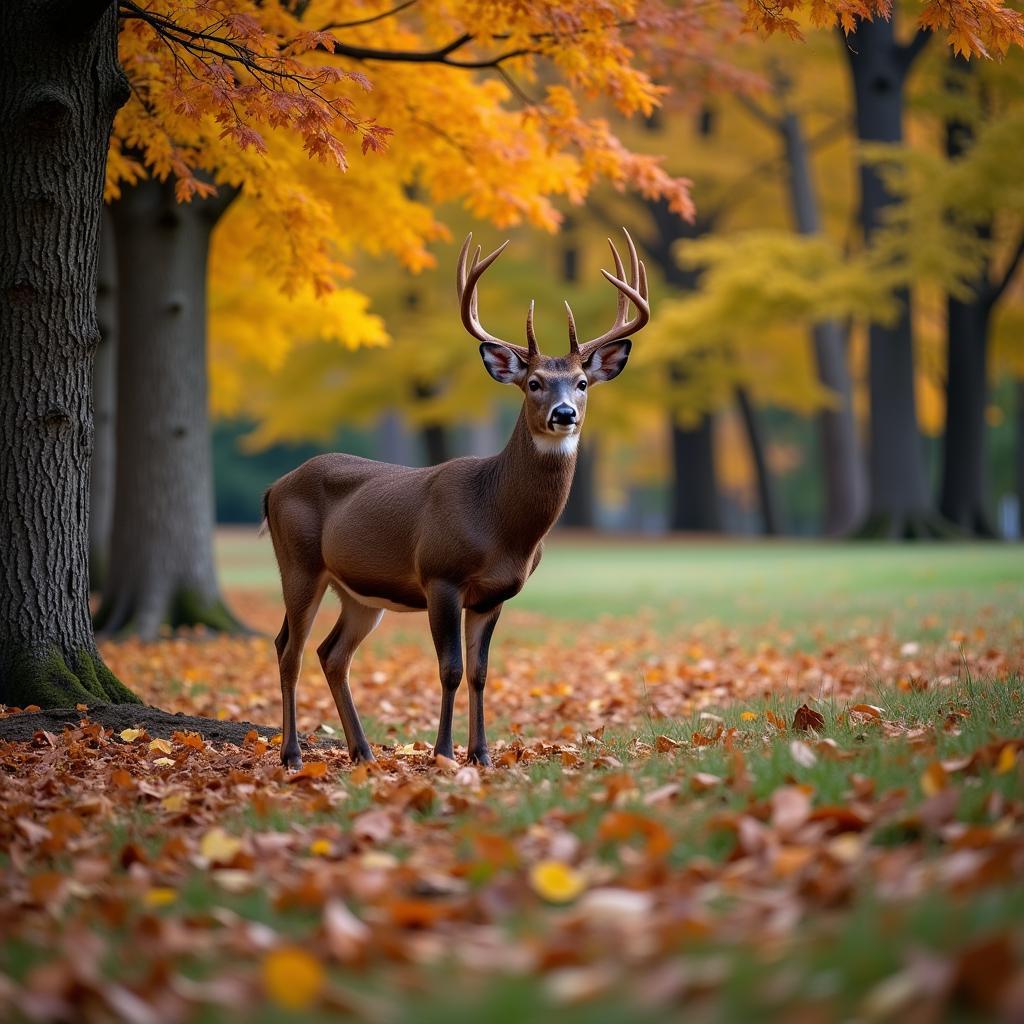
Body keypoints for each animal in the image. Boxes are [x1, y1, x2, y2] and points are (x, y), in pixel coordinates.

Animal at [262, 228, 647, 765]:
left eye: (583, 382)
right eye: (533, 383)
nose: (565, 413)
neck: (500, 524)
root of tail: (273, 487)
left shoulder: (493, 594)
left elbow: (482, 673)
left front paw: (481, 754)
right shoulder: (439, 575)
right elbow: (450, 669)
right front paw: (444, 753)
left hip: (358, 593)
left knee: (330, 654)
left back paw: (363, 752)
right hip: (298, 563)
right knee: (288, 648)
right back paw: (292, 754)